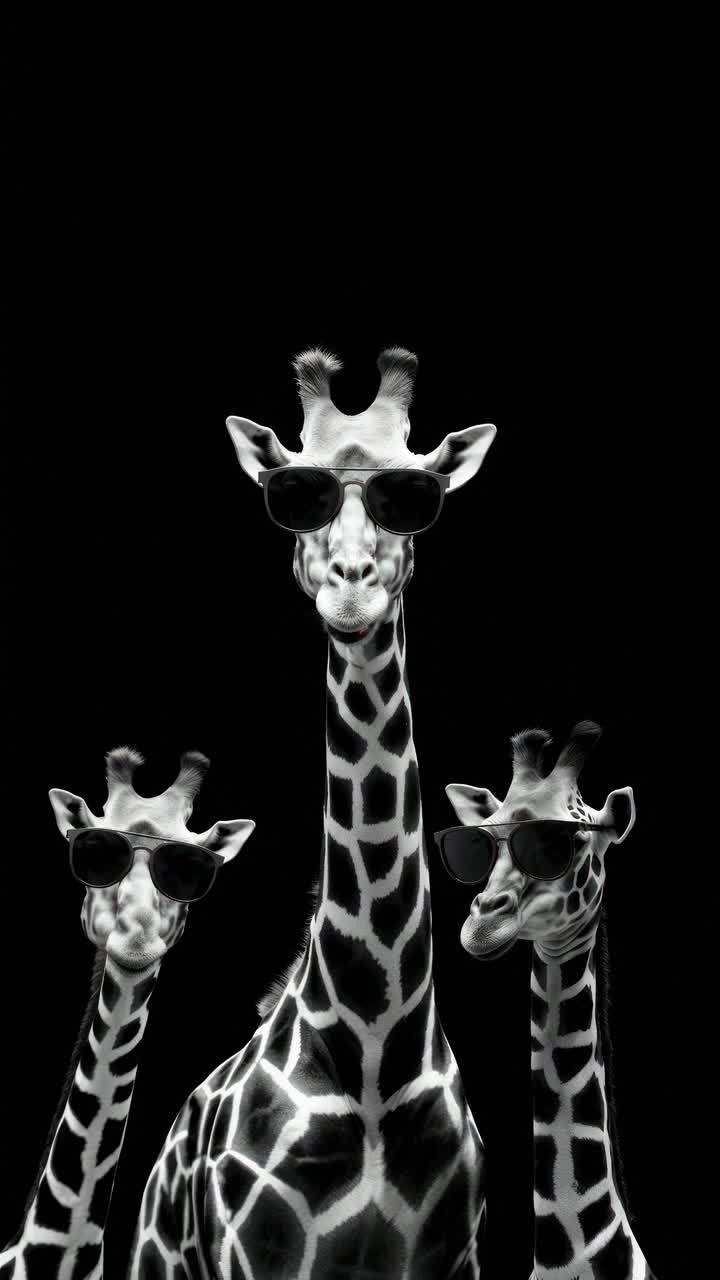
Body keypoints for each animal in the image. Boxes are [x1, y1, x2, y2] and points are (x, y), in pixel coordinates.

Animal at [129, 347, 496, 1278]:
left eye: (414, 493)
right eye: (298, 494)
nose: (351, 588)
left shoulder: (454, 1256)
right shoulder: (255, 1255)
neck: (373, 1049)